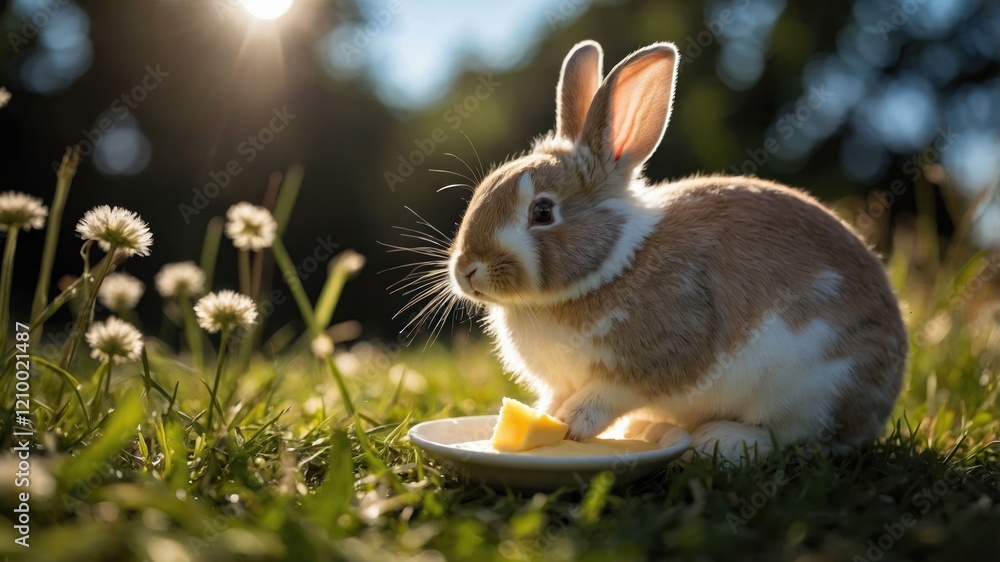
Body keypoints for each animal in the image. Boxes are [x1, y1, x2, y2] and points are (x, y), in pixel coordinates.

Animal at [446, 40, 907, 463]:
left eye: (542, 212)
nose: (467, 270)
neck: (612, 264)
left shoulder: (664, 350)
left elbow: (612, 391)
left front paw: (573, 422)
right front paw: (546, 418)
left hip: (819, 383)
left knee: (805, 438)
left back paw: (722, 440)